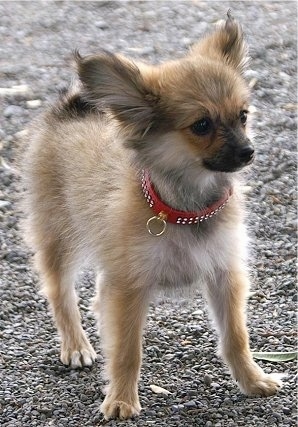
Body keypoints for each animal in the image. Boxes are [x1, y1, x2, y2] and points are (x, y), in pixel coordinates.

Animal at [22, 10, 282, 422]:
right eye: (202, 125)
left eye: (243, 116)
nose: (248, 152)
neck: (186, 208)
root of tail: (72, 107)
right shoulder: (129, 287)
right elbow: (128, 349)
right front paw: (121, 399)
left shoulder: (225, 274)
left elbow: (236, 337)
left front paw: (253, 380)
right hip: (59, 237)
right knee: (60, 292)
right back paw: (75, 345)